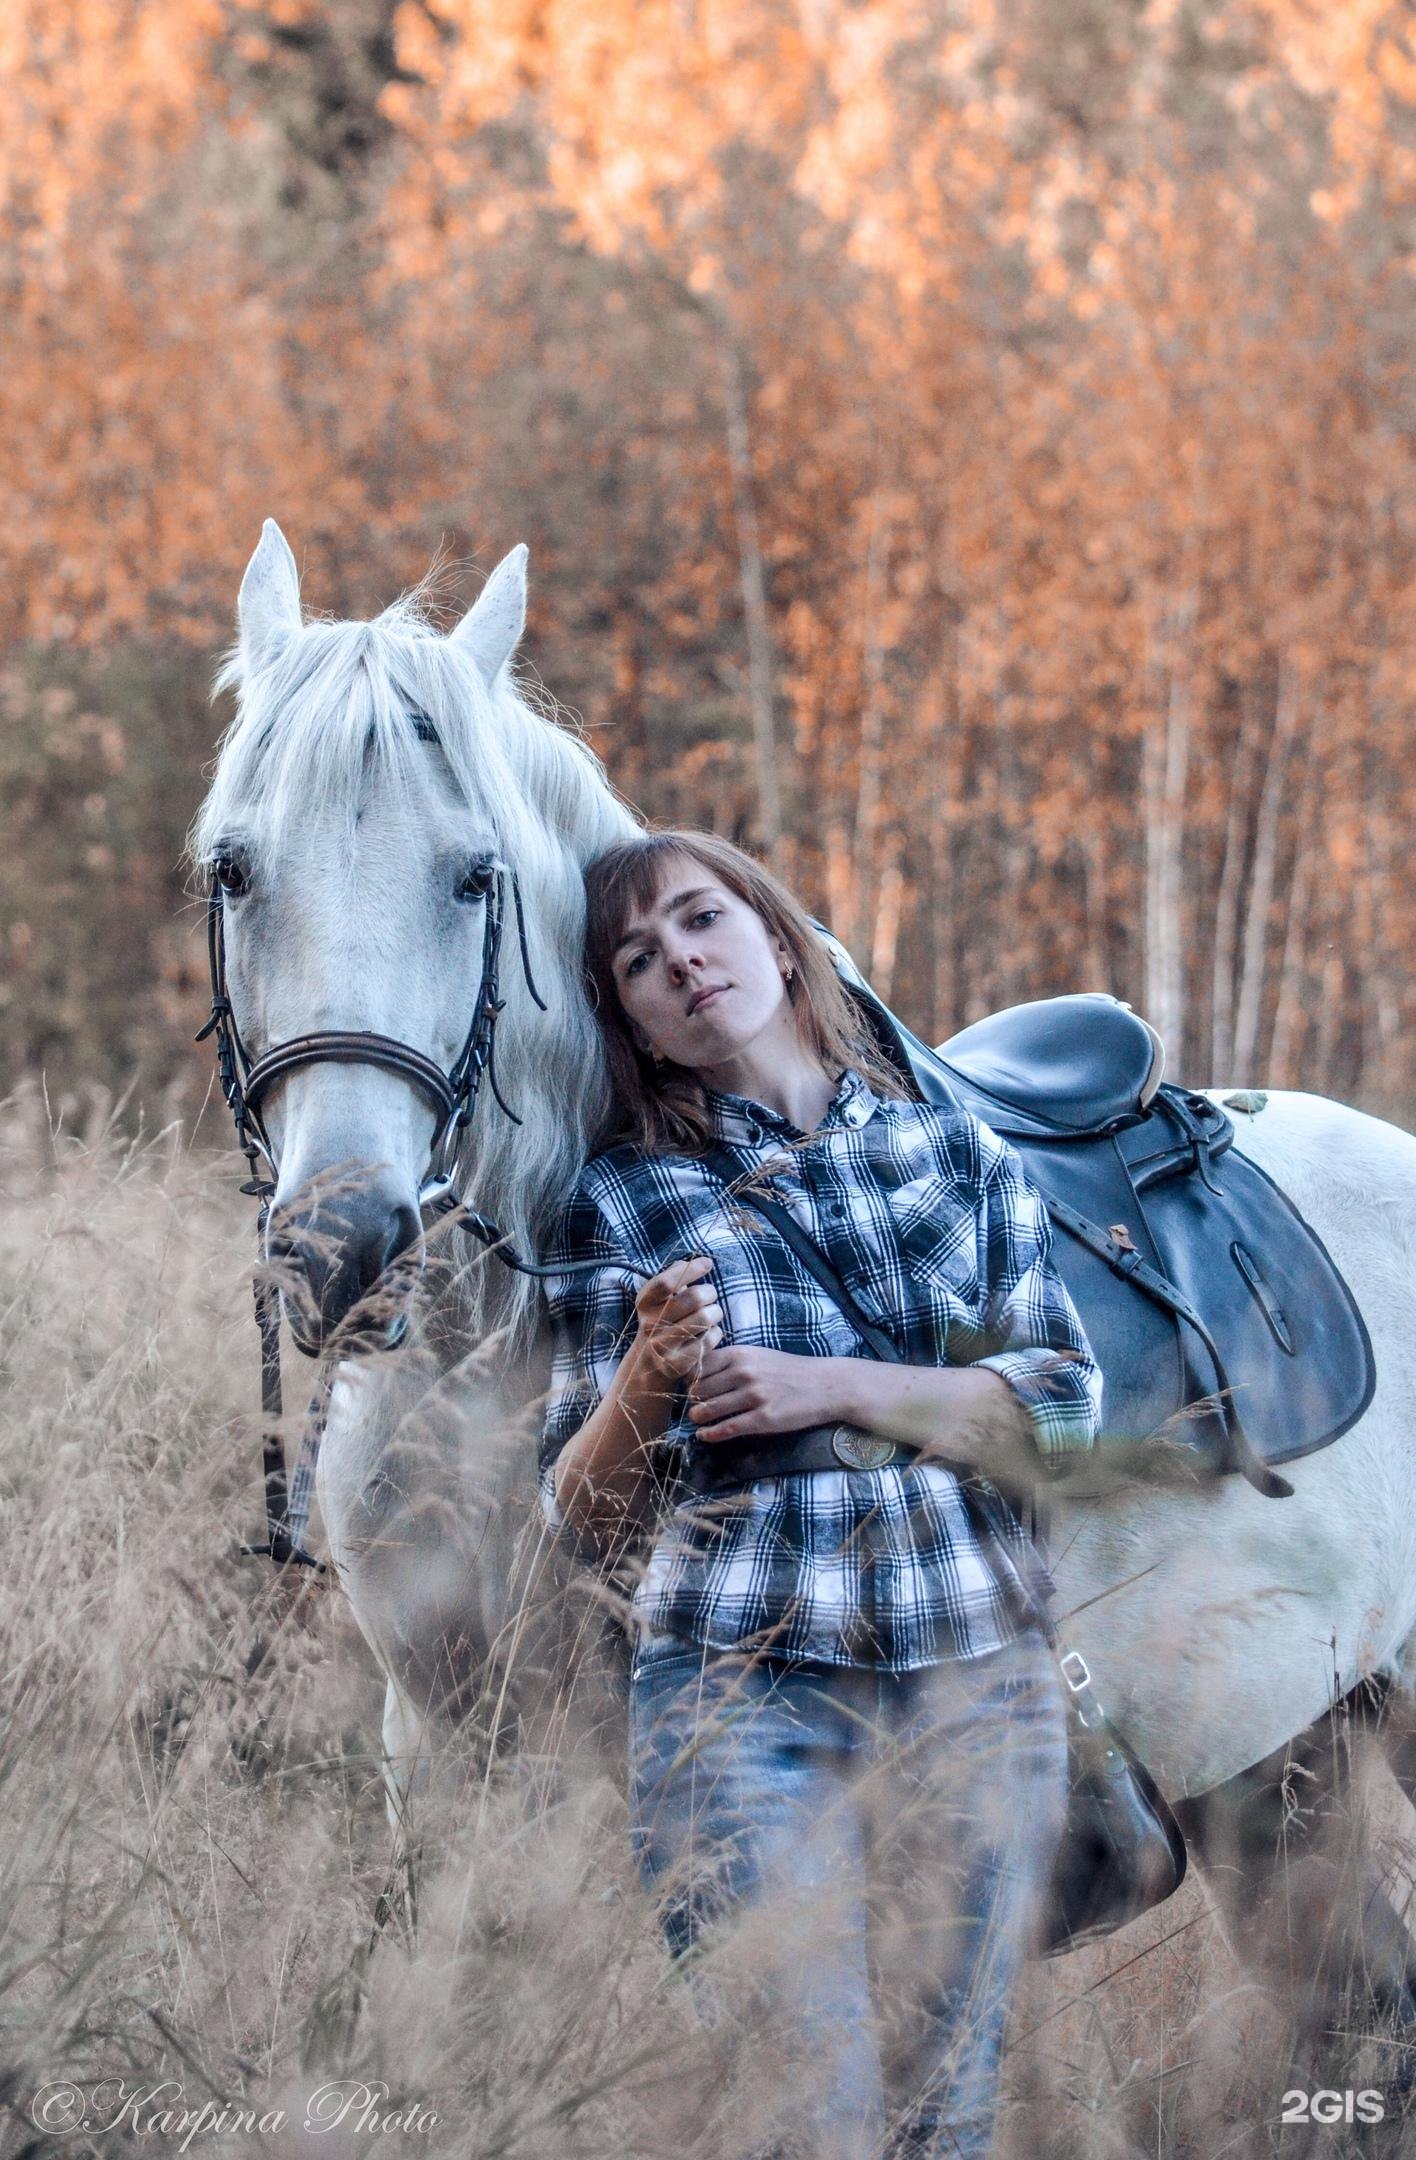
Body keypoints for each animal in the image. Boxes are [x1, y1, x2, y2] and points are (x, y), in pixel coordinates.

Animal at [193, 518, 1416, 1987]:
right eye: (234, 870)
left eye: (475, 878)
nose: (344, 1243)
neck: (484, 1366)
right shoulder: (440, 1764)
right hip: (1286, 1772)